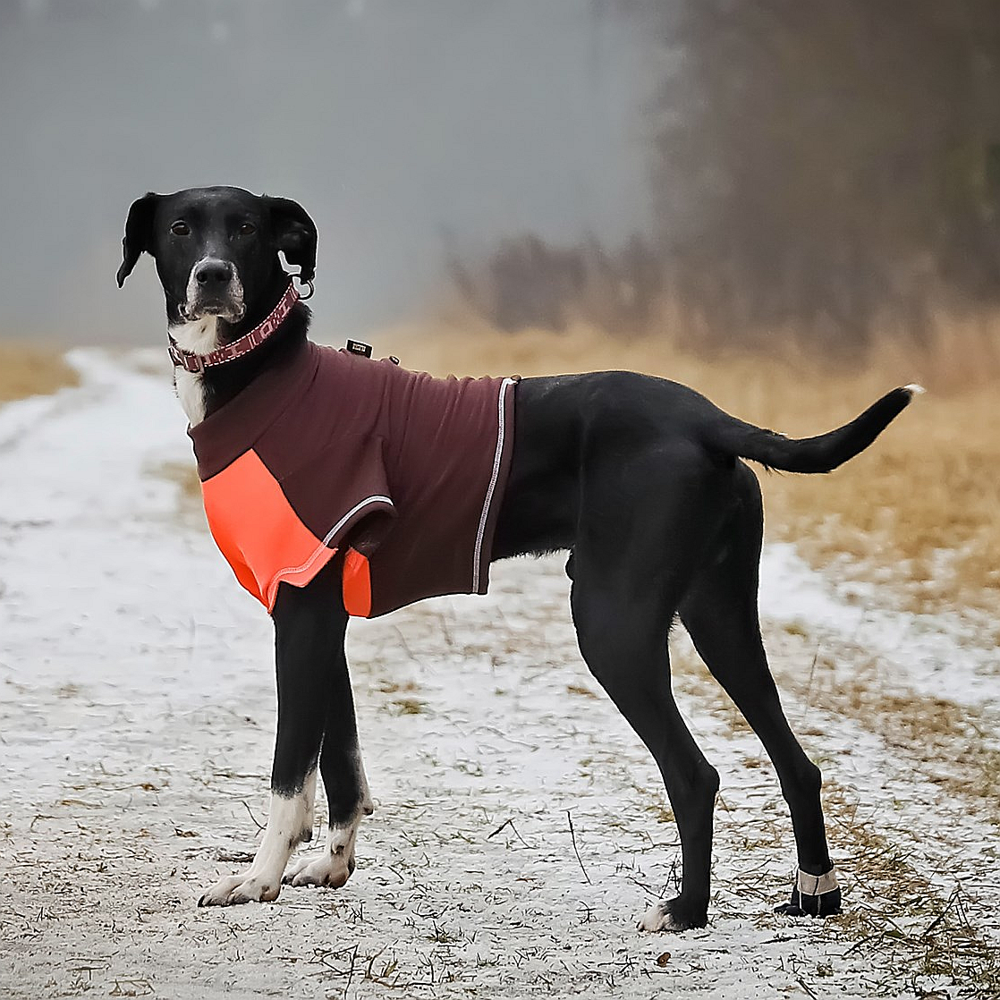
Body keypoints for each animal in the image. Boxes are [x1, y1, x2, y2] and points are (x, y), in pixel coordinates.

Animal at [113, 188, 916, 928]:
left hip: (613, 625)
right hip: (720, 619)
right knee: (798, 763)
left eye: (247, 229)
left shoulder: (302, 618)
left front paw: (256, 880)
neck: (262, 375)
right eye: (180, 229)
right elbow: (340, 761)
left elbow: (289, 773)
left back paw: (686, 911)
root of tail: (708, 418)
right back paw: (815, 892)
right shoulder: (321, 617)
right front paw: (332, 866)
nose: (213, 273)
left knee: (695, 775)